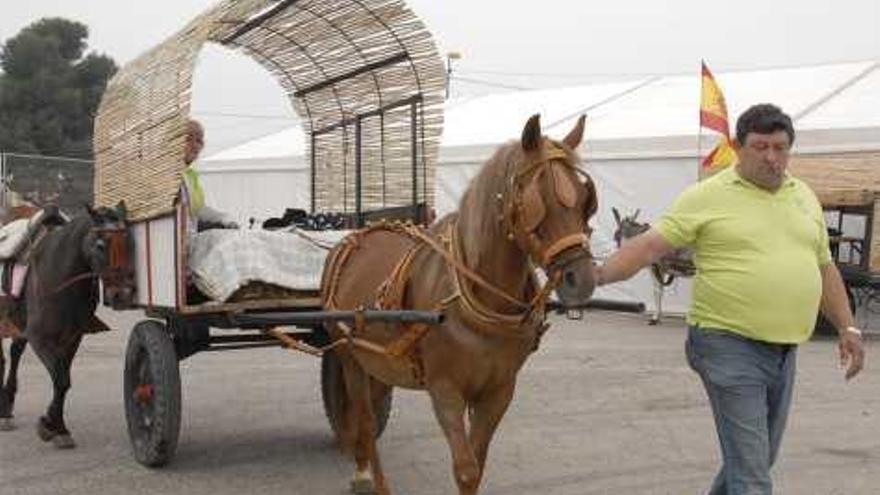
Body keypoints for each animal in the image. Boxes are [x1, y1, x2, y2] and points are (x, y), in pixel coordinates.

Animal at [0, 202, 129, 450]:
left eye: (129, 242)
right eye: (100, 244)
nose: (121, 294)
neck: (59, 276)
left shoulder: (72, 337)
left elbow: (63, 381)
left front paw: (56, 426)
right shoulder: (40, 338)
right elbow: (60, 379)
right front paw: (51, 425)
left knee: (15, 352)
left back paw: (7, 407)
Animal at [322, 114, 600, 494]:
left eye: (586, 197)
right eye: (537, 197)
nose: (581, 279)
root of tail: (356, 235)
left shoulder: (499, 391)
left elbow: (478, 466)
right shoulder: (445, 390)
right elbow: (466, 469)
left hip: (377, 359)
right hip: (347, 352)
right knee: (364, 420)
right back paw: (368, 476)